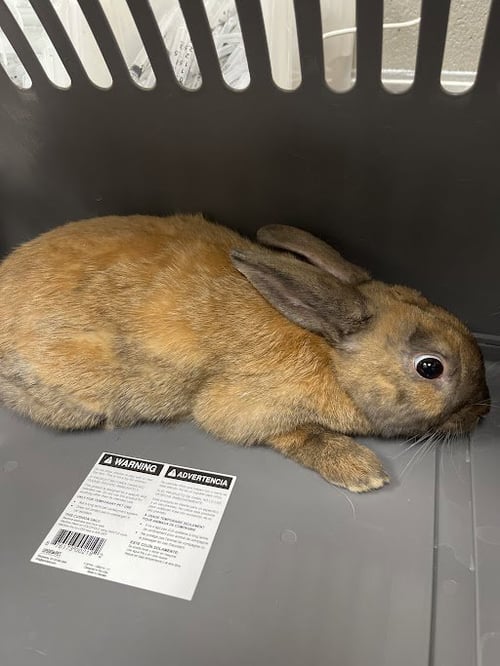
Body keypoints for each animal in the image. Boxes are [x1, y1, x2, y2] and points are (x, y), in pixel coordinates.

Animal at [0, 214, 490, 492]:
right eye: (430, 367)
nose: (484, 411)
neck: (330, 352)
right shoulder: (247, 408)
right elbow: (294, 434)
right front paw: (362, 471)